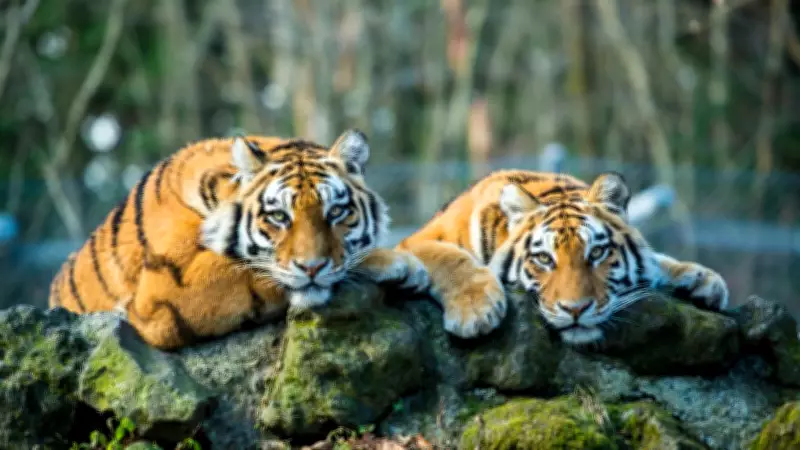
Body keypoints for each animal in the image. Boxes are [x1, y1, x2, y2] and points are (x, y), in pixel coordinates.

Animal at [48, 129, 444, 350]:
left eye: (335, 212)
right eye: (279, 216)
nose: (312, 268)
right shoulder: (165, 290)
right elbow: (253, 270)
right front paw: (398, 262)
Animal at [396, 169, 729, 345]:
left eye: (596, 253)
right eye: (544, 259)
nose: (575, 310)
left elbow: (656, 260)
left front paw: (703, 279)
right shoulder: (414, 242)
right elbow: (449, 257)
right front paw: (475, 311)